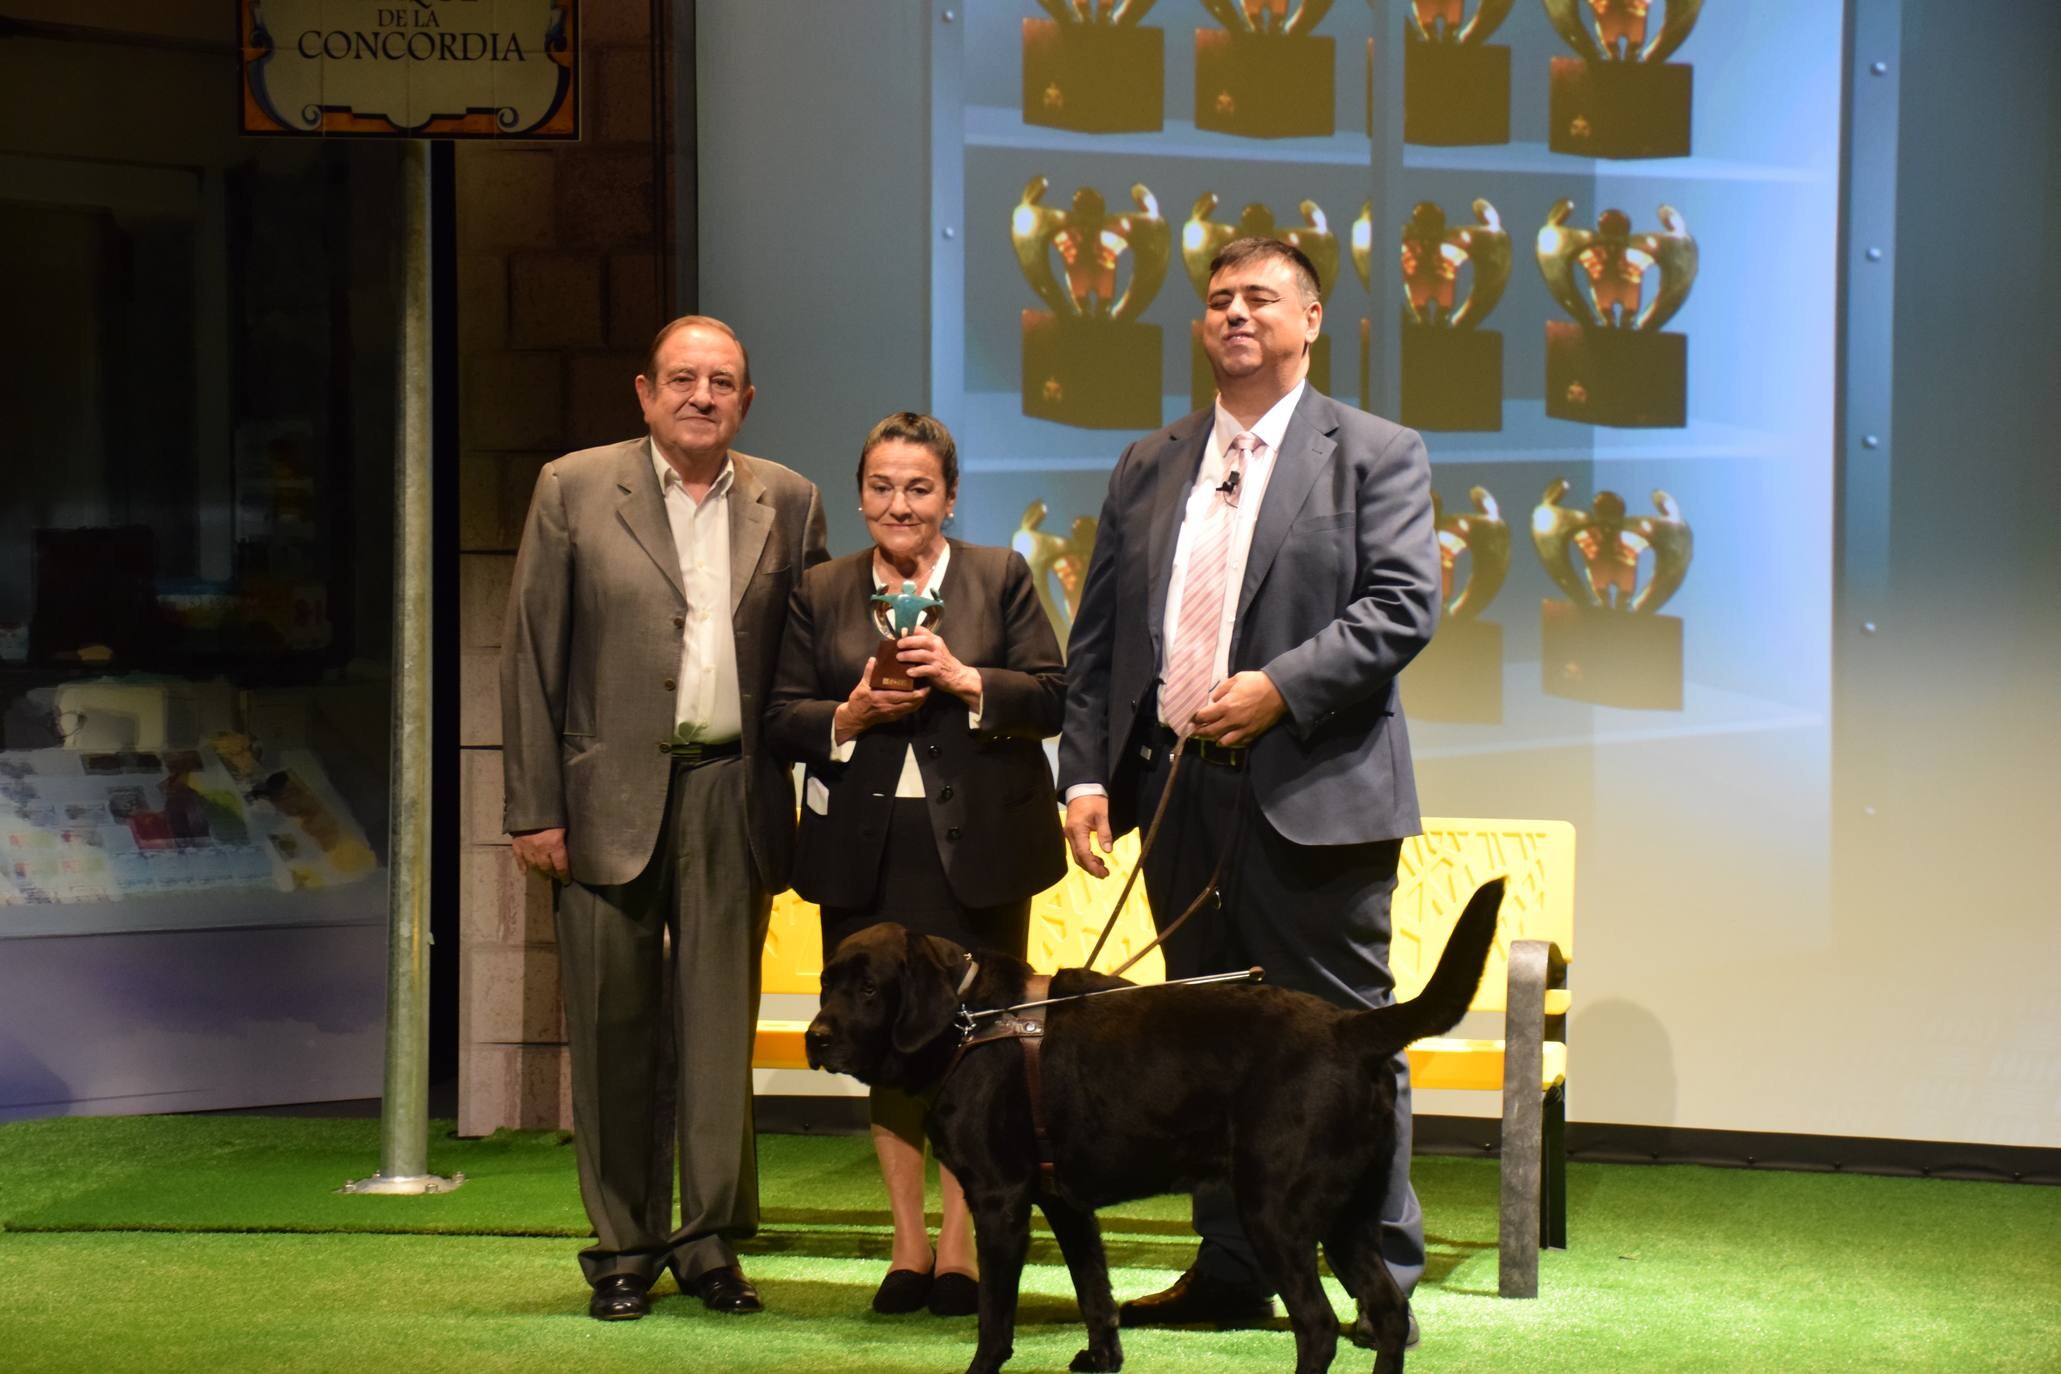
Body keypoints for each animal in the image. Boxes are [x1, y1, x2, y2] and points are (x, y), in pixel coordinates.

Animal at [799, 881, 1500, 1374]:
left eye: (869, 989)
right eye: (825, 984)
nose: (815, 1038)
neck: (971, 1021)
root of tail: (1350, 1027)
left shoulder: (999, 1200)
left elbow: (995, 1317)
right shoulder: (1064, 1202)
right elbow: (1094, 1292)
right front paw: (1102, 1359)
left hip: (1276, 1211)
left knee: (1319, 1326)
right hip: (1347, 1216)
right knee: (1386, 1312)